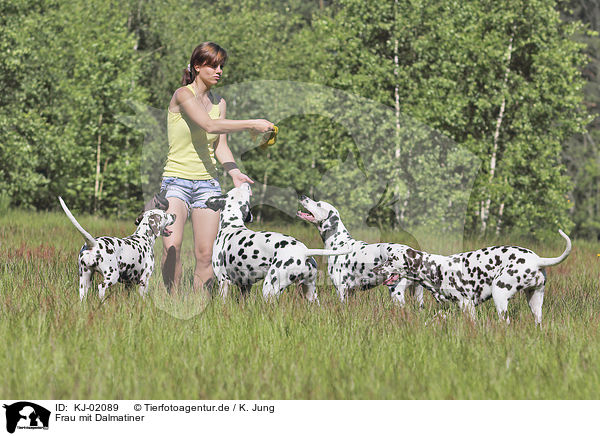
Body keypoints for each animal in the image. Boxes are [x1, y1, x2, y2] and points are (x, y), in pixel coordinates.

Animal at [205, 182, 350, 302]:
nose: (246, 183)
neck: (232, 225)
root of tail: (305, 252)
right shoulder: (245, 285)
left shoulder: (223, 281)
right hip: (309, 292)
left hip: (270, 288)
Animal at [370, 232, 572, 324]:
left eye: (391, 259)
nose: (376, 268)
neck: (434, 268)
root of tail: (537, 260)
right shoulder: (447, 309)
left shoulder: (467, 305)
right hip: (535, 302)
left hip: (500, 294)